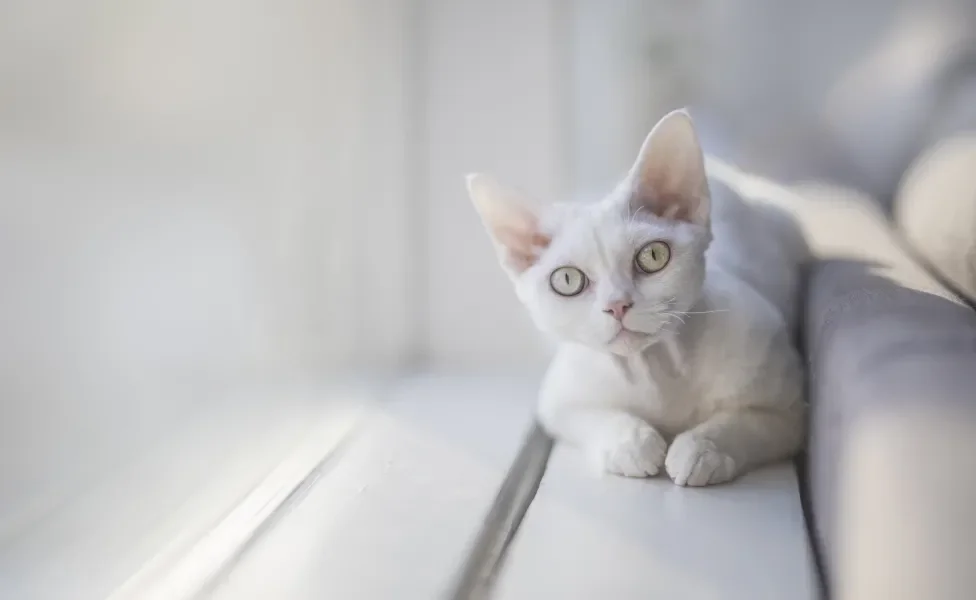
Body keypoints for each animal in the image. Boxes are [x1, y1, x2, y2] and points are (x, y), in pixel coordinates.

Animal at [468, 110, 804, 488]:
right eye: (567, 280)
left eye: (653, 256)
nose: (617, 305)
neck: (657, 368)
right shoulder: (558, 401)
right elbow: (596, 418)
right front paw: (631, 443)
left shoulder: (790, 411)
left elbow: (745, 424)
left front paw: (703, 448)